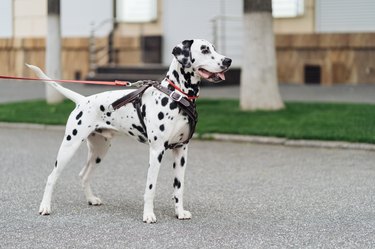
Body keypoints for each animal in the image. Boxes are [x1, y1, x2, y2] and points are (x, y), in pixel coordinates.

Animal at [27, 39, 232, 224]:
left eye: (214, 48)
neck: (177, 96)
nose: (228, 60)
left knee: (83, 175)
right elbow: (150, 188)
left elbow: (178, 188)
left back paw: (91, 199)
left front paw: (179, 212)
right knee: (51, 177)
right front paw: (148, 215)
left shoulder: (181, 150)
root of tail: (82, 100)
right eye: (204, 49)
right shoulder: (157, 151)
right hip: (69, 147)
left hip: (99, 151)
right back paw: (45, 207)